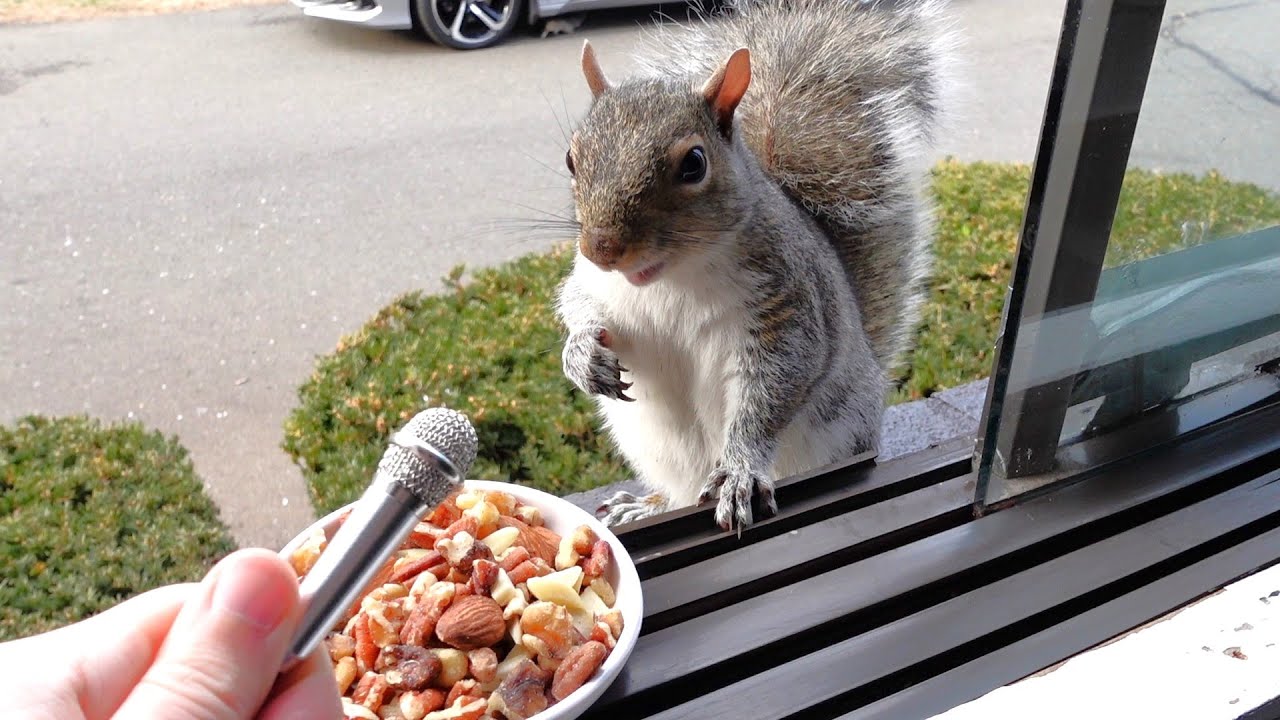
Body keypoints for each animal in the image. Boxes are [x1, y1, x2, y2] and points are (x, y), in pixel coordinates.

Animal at [555, 0, 959, 531]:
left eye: (694, 164)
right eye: (571, 158)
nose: (601, 248)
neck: (668, 279)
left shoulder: (785, 302)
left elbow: (772, 390)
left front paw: (741, 473)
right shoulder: (594, 284)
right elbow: (574, 302)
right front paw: (581, 354)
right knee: (679, 493)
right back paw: (649, 504)